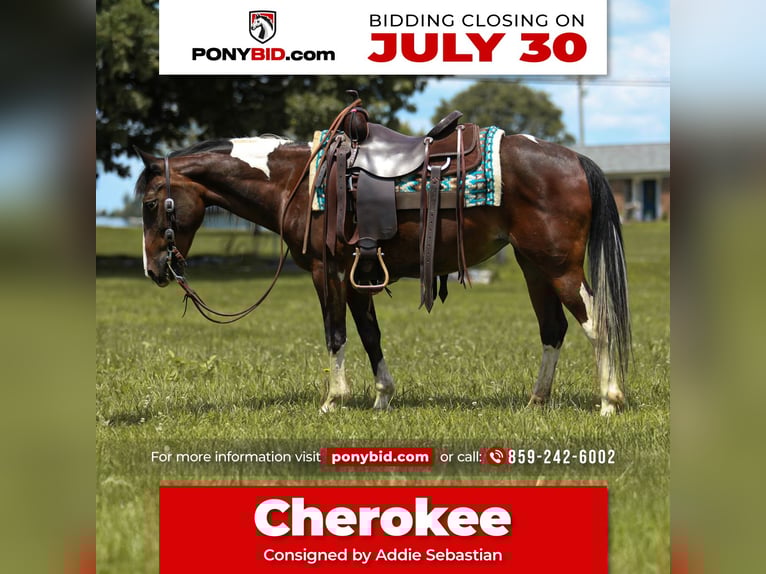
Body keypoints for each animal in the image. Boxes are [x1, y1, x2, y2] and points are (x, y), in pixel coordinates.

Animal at [134, 128, 631, 416]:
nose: (155, 269)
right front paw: (382, 397)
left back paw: (609, 402)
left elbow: (336, 335)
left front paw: (332, 401)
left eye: (150, 203)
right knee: (553, 329)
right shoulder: (359, 276)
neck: (297, 182)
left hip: (559, 267)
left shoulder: (328, 272)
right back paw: (536, 401)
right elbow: (370, 335)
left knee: (596, 322)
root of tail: (575, 160)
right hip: (534, 267)